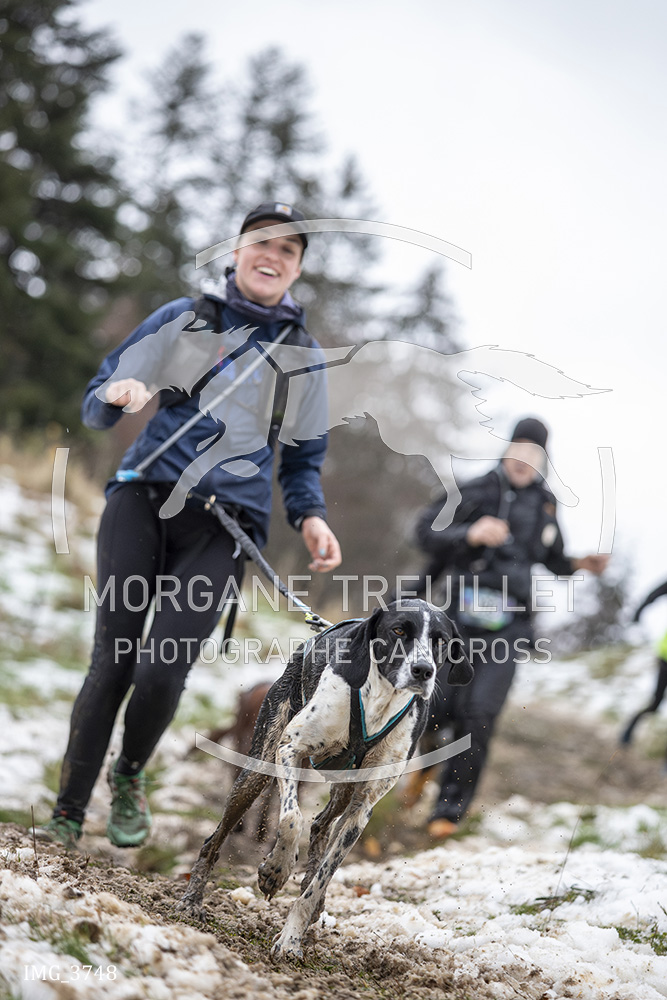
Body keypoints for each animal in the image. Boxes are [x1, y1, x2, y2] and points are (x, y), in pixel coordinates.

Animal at [177, 599, 473, 960]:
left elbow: (321, 879)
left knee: (320, 824)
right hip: (257, 769)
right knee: (214, 840)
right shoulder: (290, 750)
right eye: (399, 630)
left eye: (440, 640)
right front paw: (275, 869)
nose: (423, 670)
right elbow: (291, 819)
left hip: (344, 789)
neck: (380, 700)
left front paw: (291, 938)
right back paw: (192, 901)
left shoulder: (362, 807)